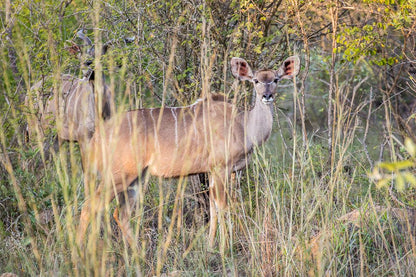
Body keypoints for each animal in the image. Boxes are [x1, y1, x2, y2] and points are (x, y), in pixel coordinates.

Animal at [78, 54, 300, 246]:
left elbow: (213, 207)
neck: (242, 125)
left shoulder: (213, 172)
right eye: (255, 81)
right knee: (91, 206)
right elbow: (222, 207)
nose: (267, 96)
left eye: (276, 79)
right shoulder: (221, 168)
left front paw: (210, 246)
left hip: (136, 178)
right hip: (118, 175)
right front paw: (224, 248)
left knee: (120, 214)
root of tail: (97, 136)